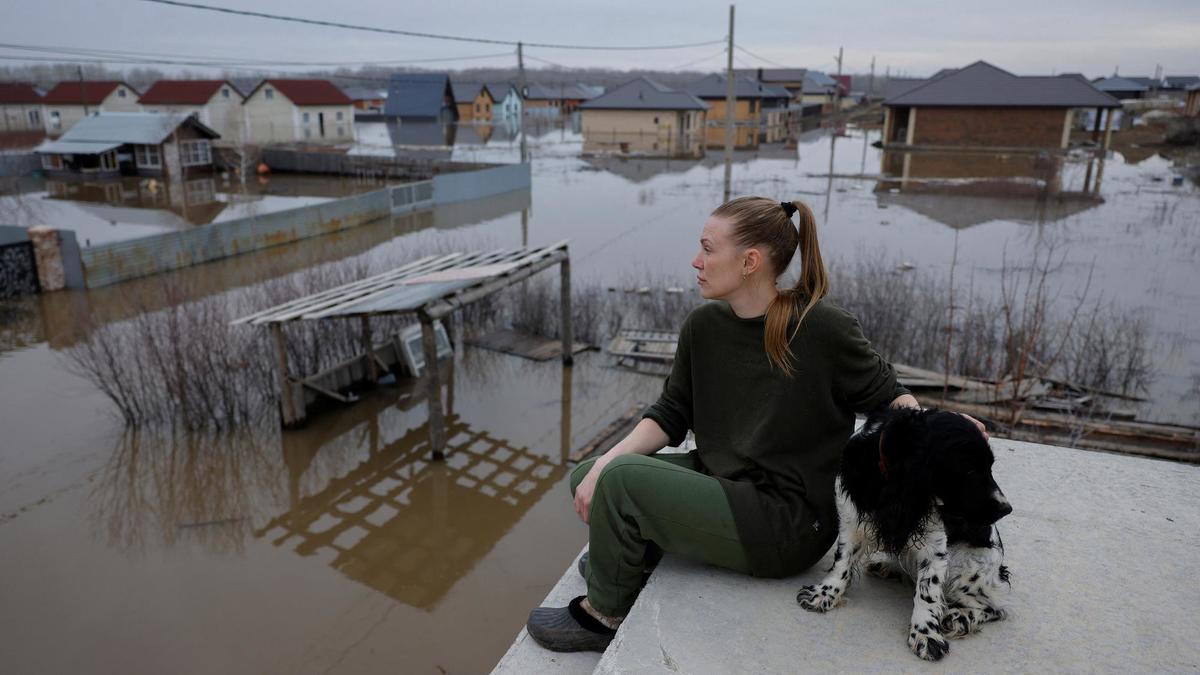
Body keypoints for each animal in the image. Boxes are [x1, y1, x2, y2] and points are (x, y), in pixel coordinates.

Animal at [796, 408, 1012, 658]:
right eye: (970, 469)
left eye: (989, 467)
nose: (1007, 509)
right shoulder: (851, 520)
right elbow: (842, 562)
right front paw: (824, 594)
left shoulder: (934, 545)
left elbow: (928, 591)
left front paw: (925, 634)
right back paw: (887, 567)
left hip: (967, 566)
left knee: (994, 607)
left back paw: (959, 617)